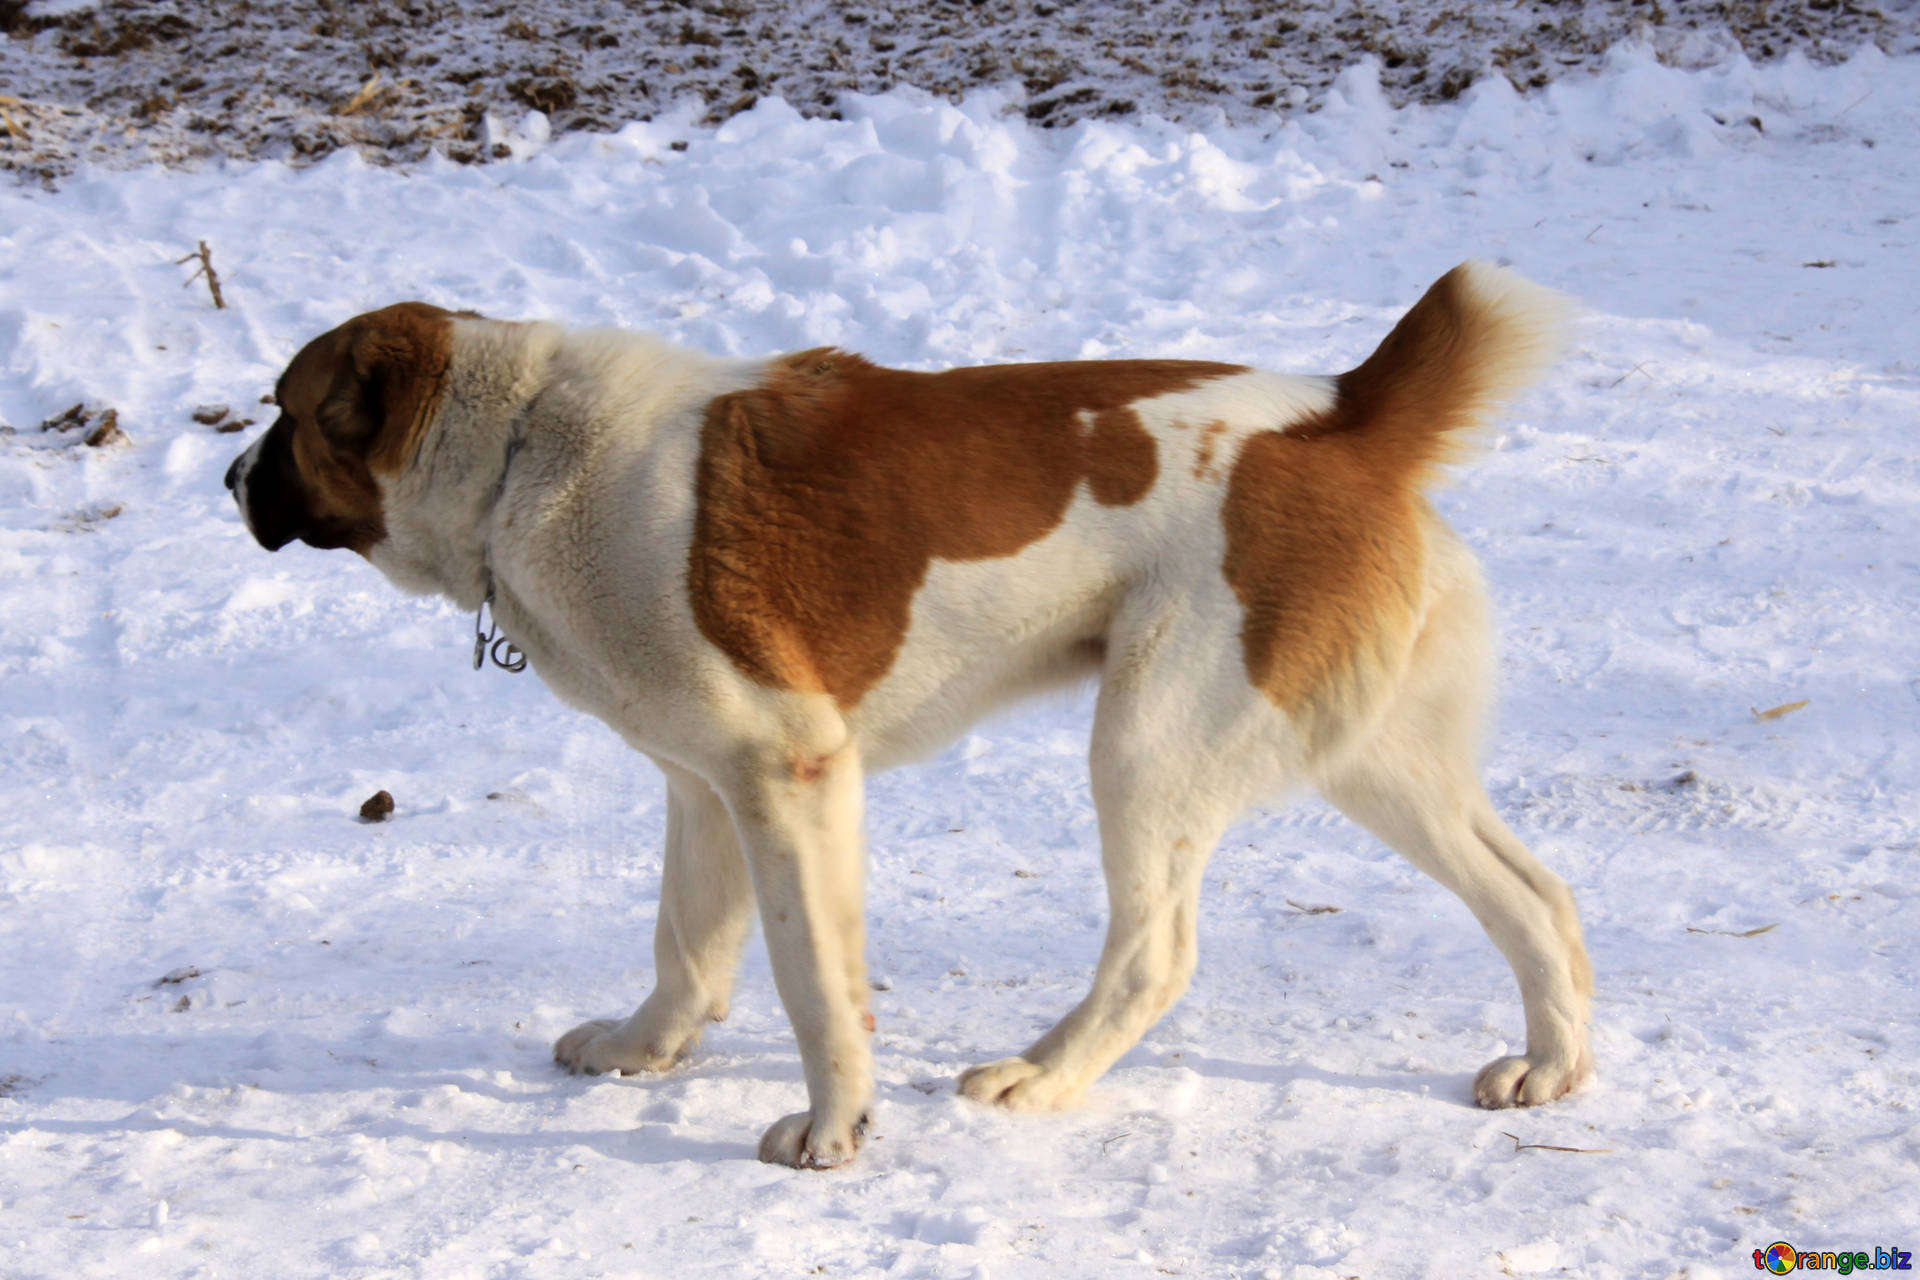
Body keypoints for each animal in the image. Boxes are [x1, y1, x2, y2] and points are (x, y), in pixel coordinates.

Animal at [224, 262, 1589, 1174]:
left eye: (283, 411)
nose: (228, 476)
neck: (524, 450)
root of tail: (1343, 413)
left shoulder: (790, 771)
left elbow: (811, 979)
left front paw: (834, 1130)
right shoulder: (703, 781)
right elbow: (687, 941)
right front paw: (644, 1046)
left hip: (1149, 743)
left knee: (1155, 952)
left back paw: (1039, 1074)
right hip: (1370, 754)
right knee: (1535, 892)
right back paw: (1552, 1065)